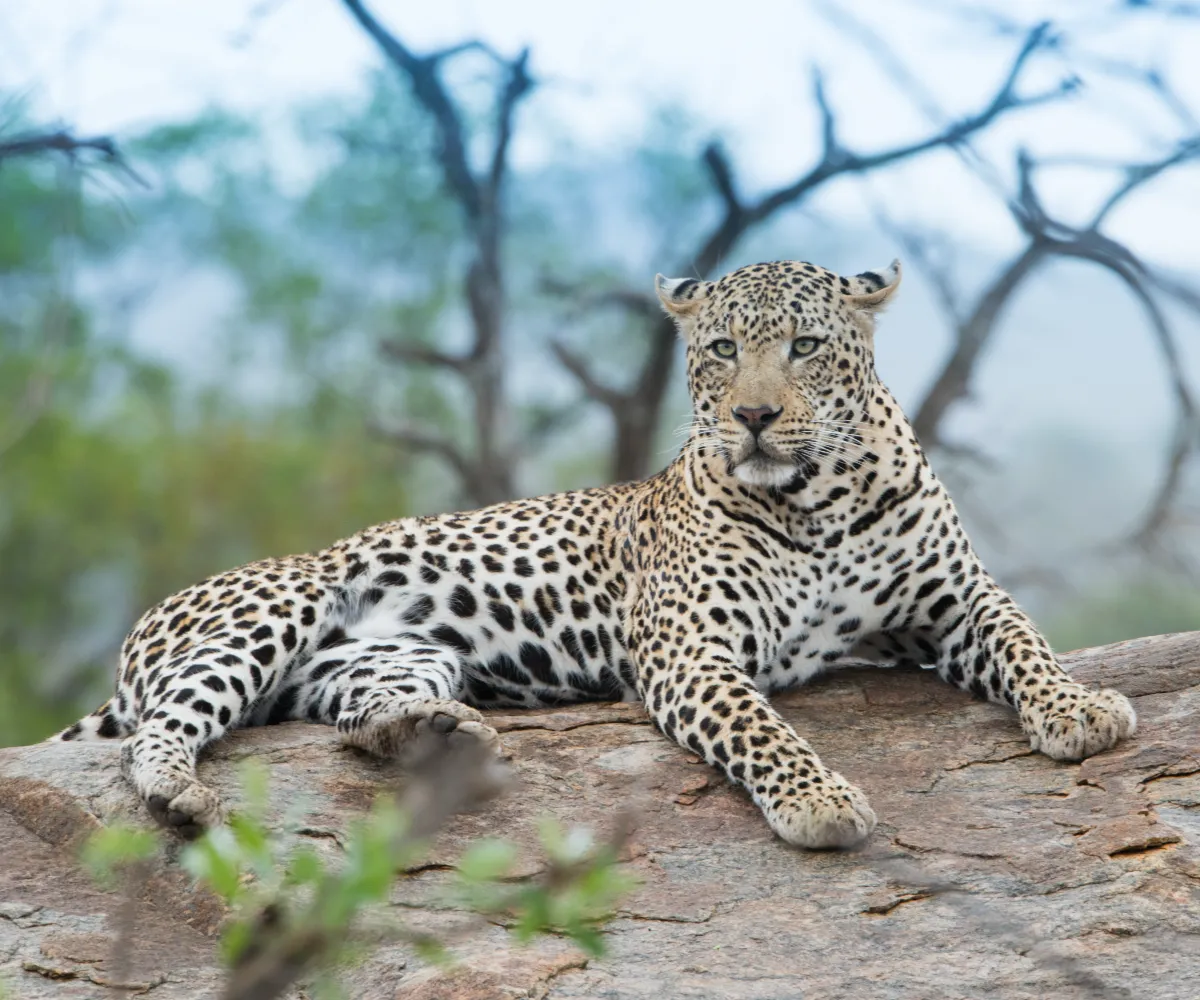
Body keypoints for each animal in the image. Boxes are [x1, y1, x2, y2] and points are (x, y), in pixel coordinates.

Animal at [58, 258, 1137, 848]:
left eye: (804, 346)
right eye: (718, 351)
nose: (753, 417)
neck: (819, 501)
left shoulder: (955, 601)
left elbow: (1024, 639)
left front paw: (1081, 708)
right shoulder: (694, 650)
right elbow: (762, 727)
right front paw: (819, 799)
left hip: (389, 659)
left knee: (355, 721)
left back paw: (436, 736)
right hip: (272, 611)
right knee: (165, 725)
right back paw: (181, 791)